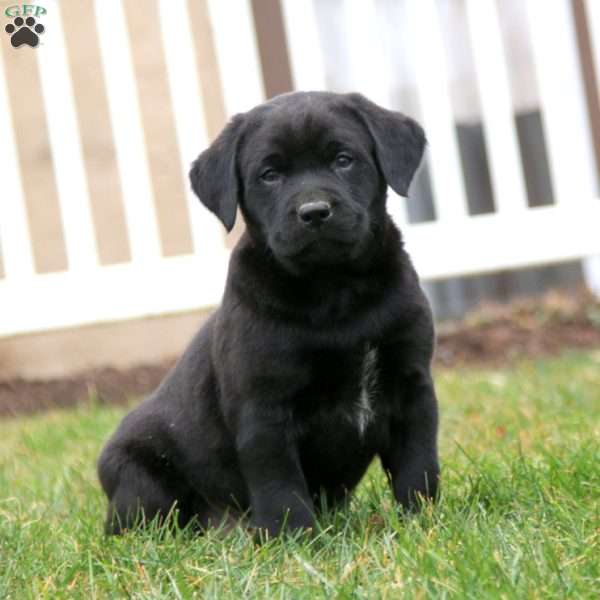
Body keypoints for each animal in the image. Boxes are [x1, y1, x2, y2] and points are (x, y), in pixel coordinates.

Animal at [98, 91, 440, 536]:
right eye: (270, 175)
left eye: (343, 159)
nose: (314, 212)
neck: (335, 290)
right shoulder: (263, 408)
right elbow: (279, 483)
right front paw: (296, 538)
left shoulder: (410, 383)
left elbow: (418, 464)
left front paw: (423, 521)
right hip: (140, 477)